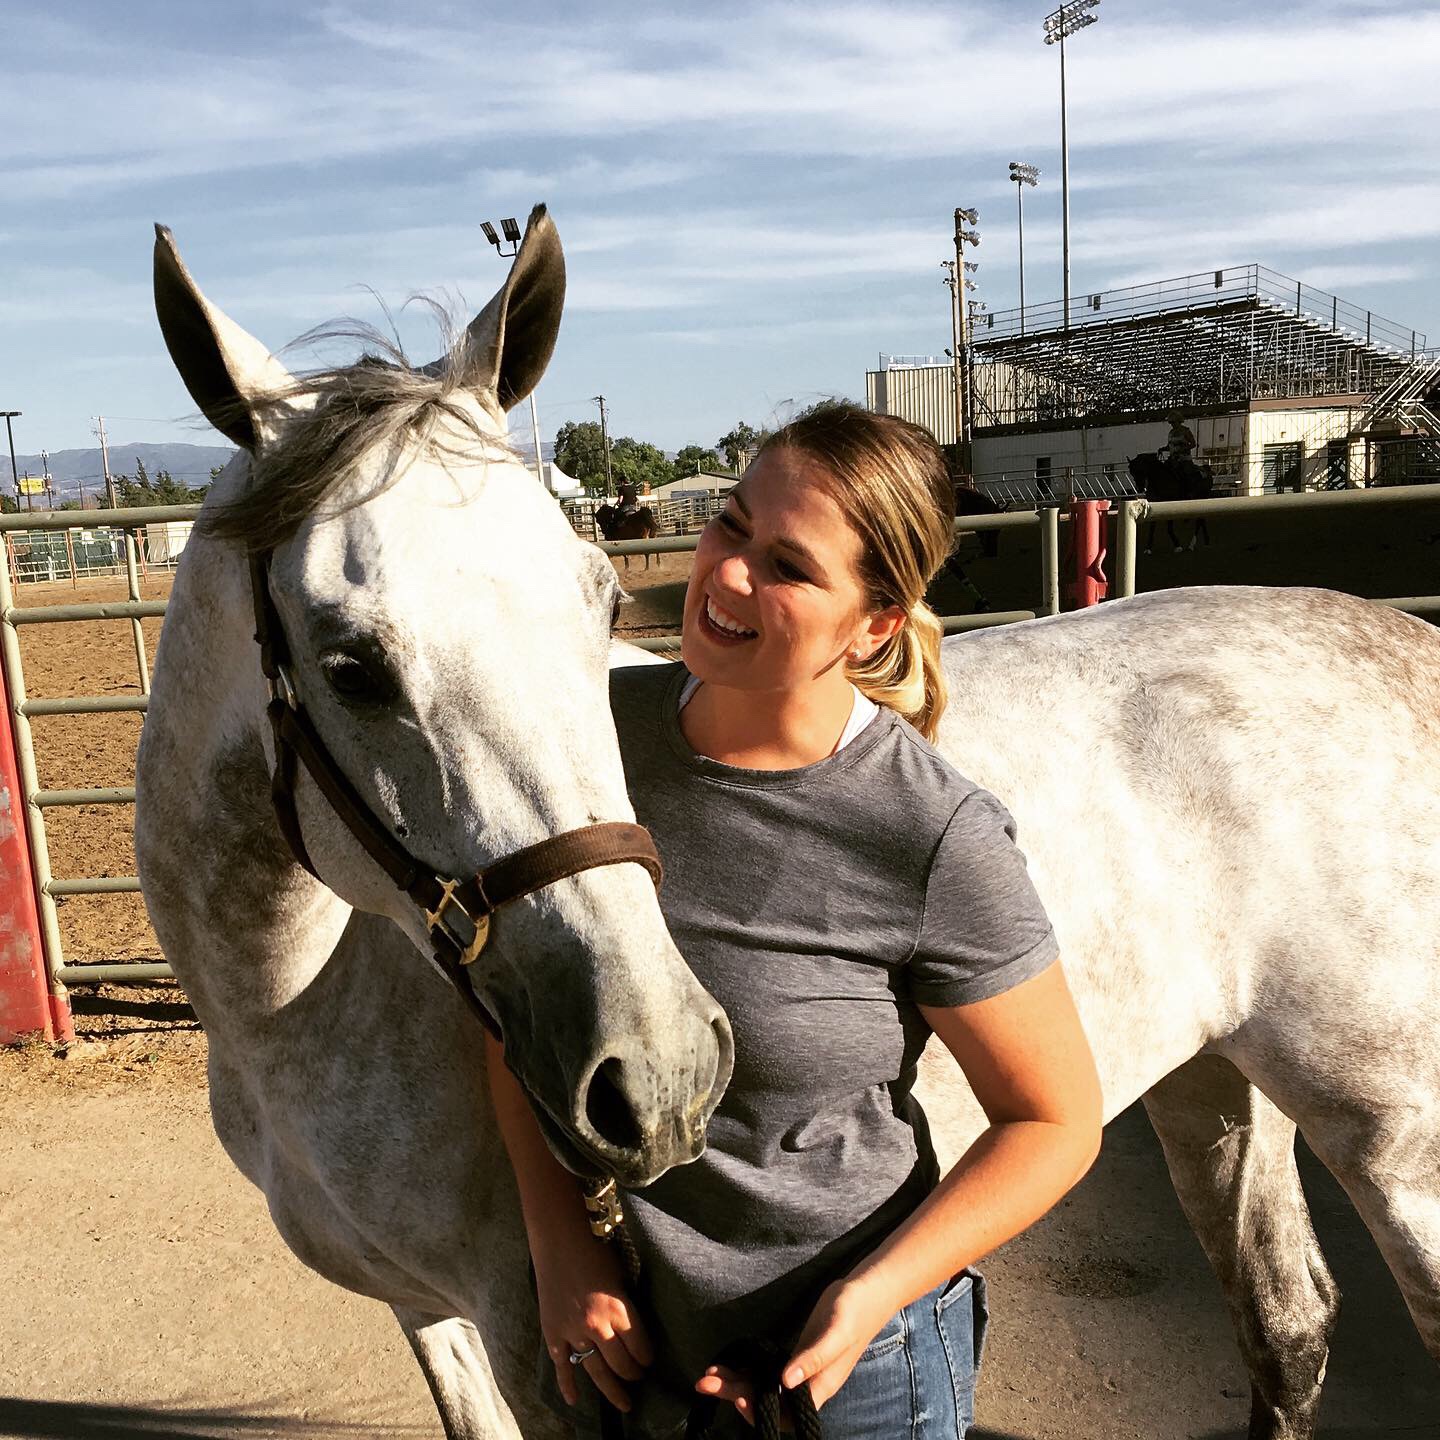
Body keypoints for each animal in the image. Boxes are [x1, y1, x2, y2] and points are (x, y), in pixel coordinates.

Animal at [137, 210, 1439, 1440]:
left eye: (596, 603)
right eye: (350, 668)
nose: (658, 1073)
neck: (295, 1014)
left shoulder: (547, 1354)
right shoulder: (436, 1321)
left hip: (1394, 1141)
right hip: (1218, 1083)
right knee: (1288, 1326)